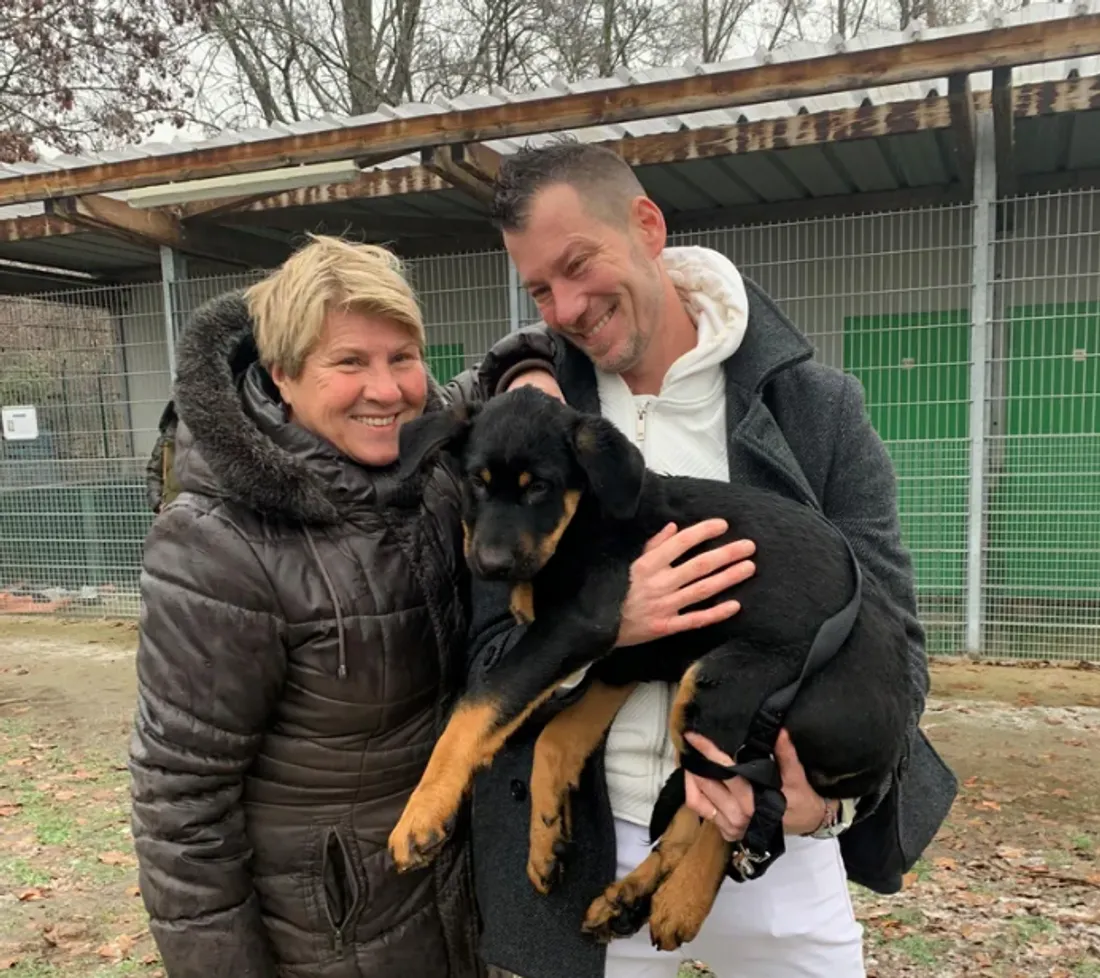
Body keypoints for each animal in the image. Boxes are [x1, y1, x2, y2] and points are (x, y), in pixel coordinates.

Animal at [387, 385, 910, 950]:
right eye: (475, 483)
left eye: (540, 487)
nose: (491, 565)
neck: (581, 519)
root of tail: (888, 750)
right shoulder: (621, 659)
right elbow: (555, 739)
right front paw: (546, 839)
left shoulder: (577, 627)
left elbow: (481, 704)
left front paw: (422, 811)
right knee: (700, 805)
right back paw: (627, 899)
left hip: (727, 684)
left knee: (740, 804)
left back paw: (682, 902)